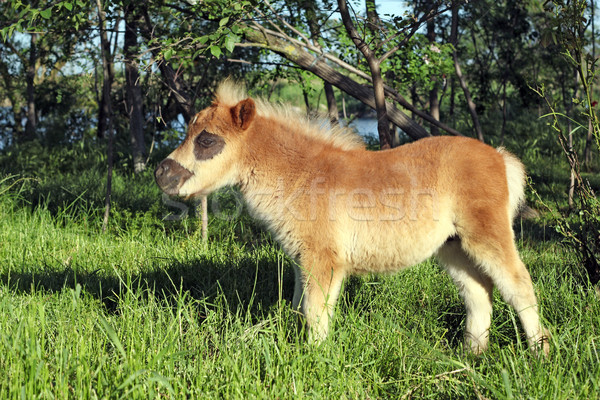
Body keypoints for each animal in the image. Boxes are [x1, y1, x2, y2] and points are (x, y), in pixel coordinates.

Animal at [155, 79, 548, 354]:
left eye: (207, 140)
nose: (162, 174)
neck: (301, 175)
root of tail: (499, 157)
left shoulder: (324, 260)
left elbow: (315, 315)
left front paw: (314, 360)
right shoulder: (301, 259)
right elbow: (298, 308)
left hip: (487, 234)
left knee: (518, 285)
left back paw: (539, 355)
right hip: (452, 246)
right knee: (478, 293)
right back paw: (471, 355)